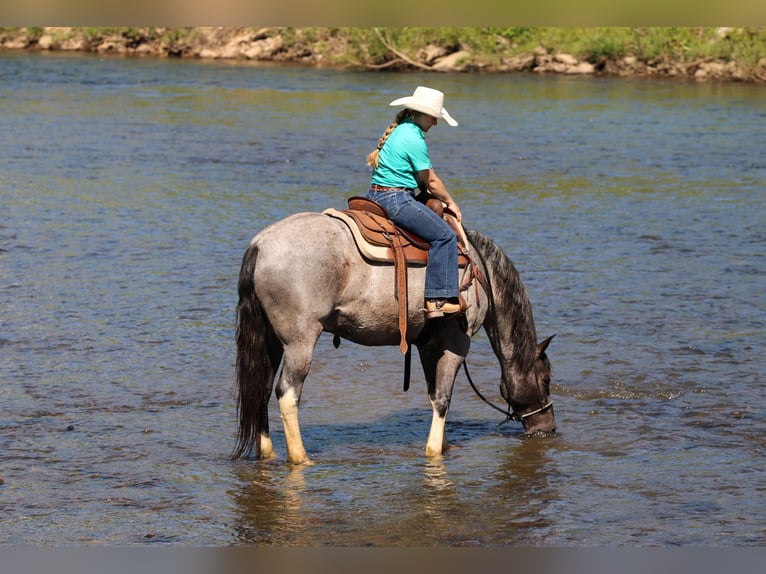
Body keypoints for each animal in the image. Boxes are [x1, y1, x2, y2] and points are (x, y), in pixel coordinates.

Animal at [234, 210, 556, 464]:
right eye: (546, 379)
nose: (548, 428)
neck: (480, 271)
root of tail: (260, 245)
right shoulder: (456, 342)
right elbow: (443, 398)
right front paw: (434, 451)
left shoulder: (428, 345)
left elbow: (433, 395)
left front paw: (443, 444)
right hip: (300, 343)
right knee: (287, 393)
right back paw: (301, 458)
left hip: (271, 341)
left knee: (261, 389)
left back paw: (268, 453)